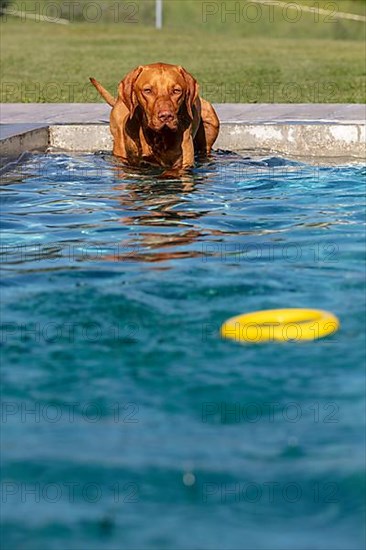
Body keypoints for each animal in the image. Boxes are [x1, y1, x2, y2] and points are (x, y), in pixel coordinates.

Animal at [89, 62, 219, 175]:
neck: (157, 137)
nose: (166, 116)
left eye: (176, 91)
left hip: (212, 121)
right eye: (147, 90)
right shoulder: (132, 163)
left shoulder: (183, 165)